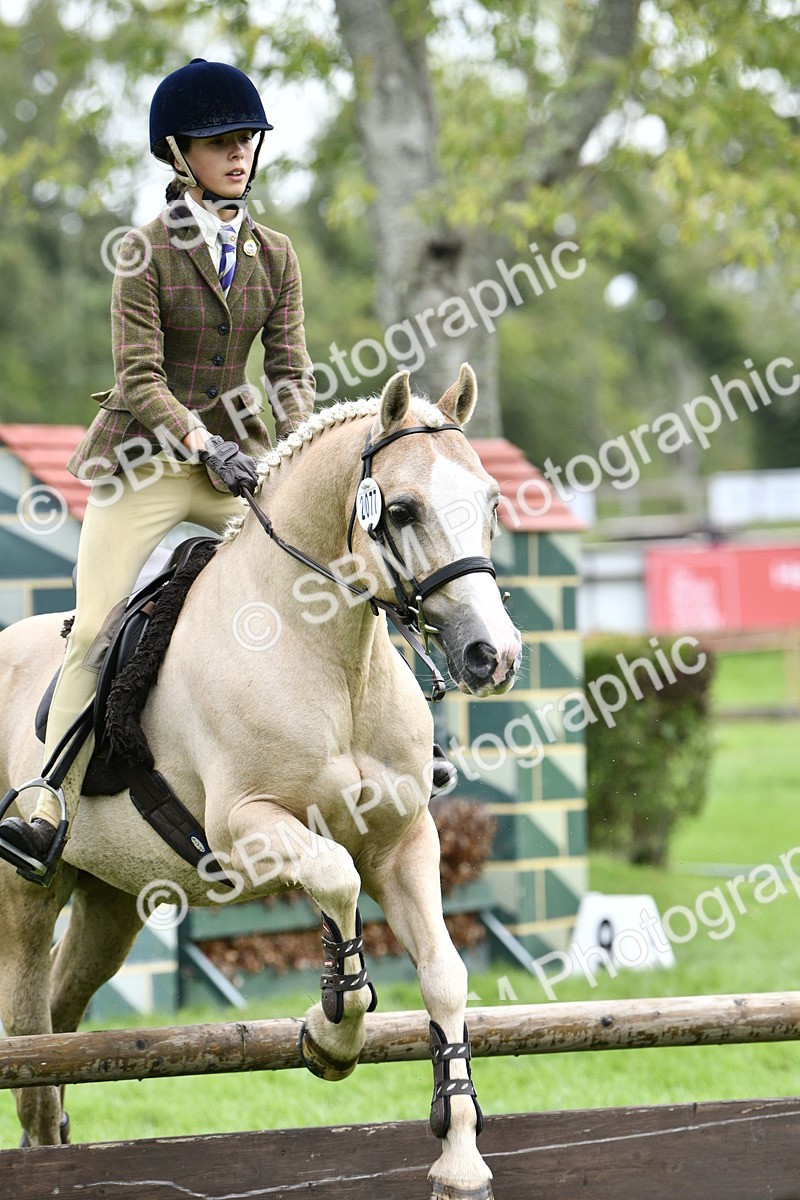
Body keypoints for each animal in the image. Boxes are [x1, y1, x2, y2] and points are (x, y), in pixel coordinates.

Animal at [0, 364, 521, 1200]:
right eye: (402, 509)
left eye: (493, 501)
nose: (491, 655)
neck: (328, 655)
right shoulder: (244, 829)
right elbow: (337, 878)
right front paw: (332, 1033)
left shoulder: (404, 840)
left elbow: (443, 973)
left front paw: (460, 1155)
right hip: (26, 894)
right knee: (30, 1042)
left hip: (111, 903)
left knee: (57, 1023)